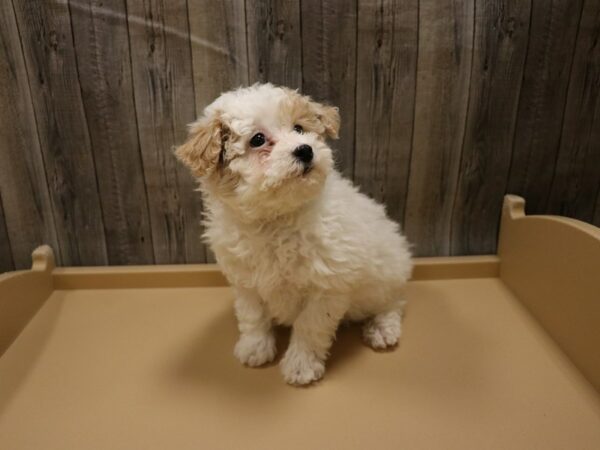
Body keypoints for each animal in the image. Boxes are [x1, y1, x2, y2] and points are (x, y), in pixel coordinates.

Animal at [175, 82, 412, 384]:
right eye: (258, 140)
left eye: (299, 128)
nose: (305, 150)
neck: (276, 220)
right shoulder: (246, 282)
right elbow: (252, 317)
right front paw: (255, 347)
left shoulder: (327, 286)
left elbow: (309, 326)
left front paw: (301, 365)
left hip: (387, 276)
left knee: (394, 301)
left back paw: (382, 328)